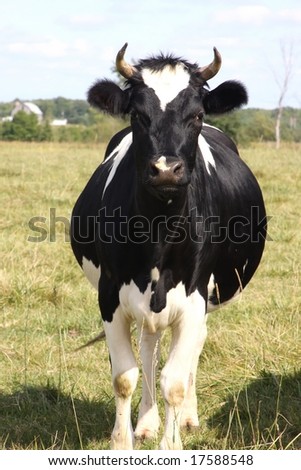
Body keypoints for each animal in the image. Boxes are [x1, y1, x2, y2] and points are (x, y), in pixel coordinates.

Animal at [70, 45, 264, 452]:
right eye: (138, 115)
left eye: (197, 115)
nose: (165, 170)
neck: (158, 231)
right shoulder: (110, 295)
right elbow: (124, 376)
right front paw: (123, 442)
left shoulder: (194, 296)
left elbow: (173, 380)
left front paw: (171, 445)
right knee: (149, 348)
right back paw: (146, 422)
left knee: (191, 352)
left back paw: (187, 417)